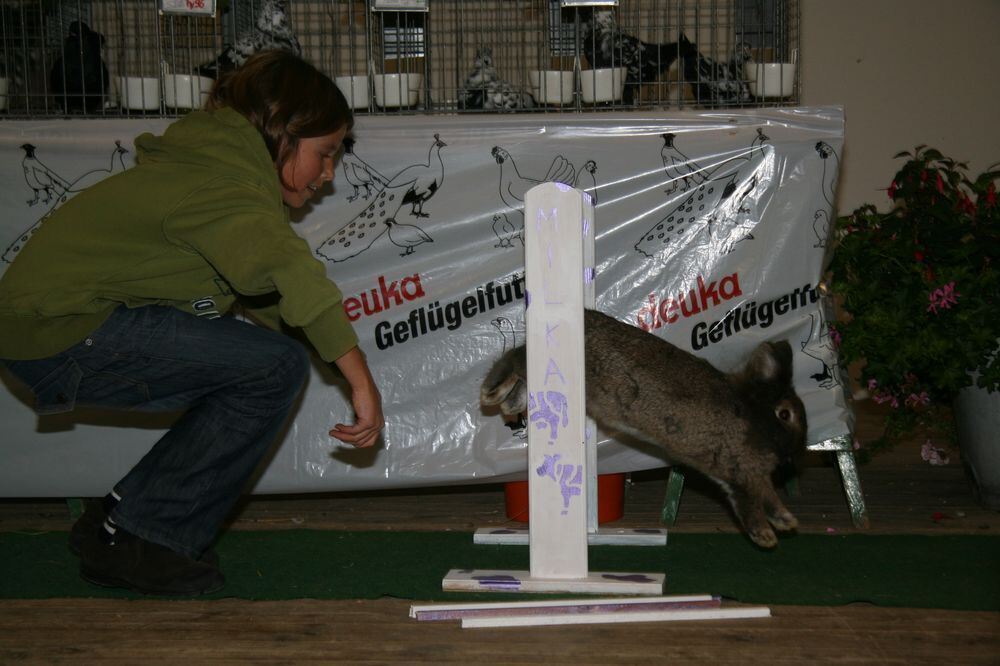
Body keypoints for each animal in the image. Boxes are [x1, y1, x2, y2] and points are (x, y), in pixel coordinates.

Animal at [480, 308, 808, 548]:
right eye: (785, 414)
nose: (797, 451)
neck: (752, 415)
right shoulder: (736, 468)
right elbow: (750, 502)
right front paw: (766, 536)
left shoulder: (742, 475)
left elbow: (766, 497)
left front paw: (787, 522)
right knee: (514, 357)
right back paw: (491, 391)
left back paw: (511, 403)